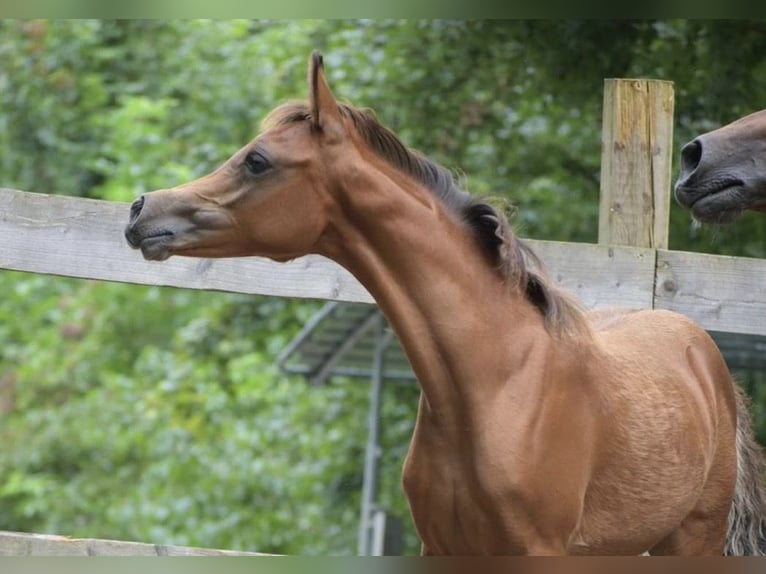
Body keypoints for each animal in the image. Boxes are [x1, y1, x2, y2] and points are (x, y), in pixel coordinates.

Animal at [124, 54, 766, 560]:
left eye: (257, 160)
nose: (140, 211)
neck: (493, 386)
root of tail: (703, 355)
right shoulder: (441, 546)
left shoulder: (538, 550)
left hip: (691, 539)